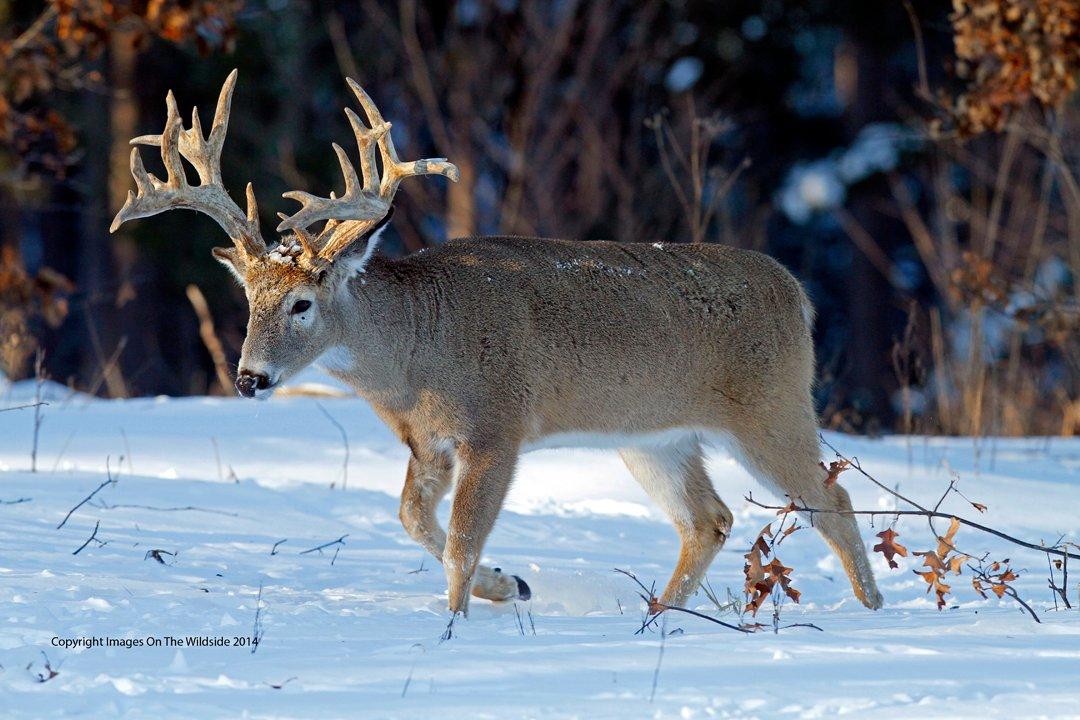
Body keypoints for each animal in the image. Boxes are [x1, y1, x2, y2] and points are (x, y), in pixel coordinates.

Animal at [111, 70, 885, 617]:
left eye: (302, 303)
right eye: (250, 301)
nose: (250, 377)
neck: (414, 353)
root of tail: (798, 294)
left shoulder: (497, 424)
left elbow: (458, 538)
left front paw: (453, 624)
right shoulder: (427, 441)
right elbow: (411, 519)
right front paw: (510, 585)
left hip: (770, 407)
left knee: (834, 500)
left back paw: (873, 612)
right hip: (654, 436)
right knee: (710, 520)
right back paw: (656, 619)